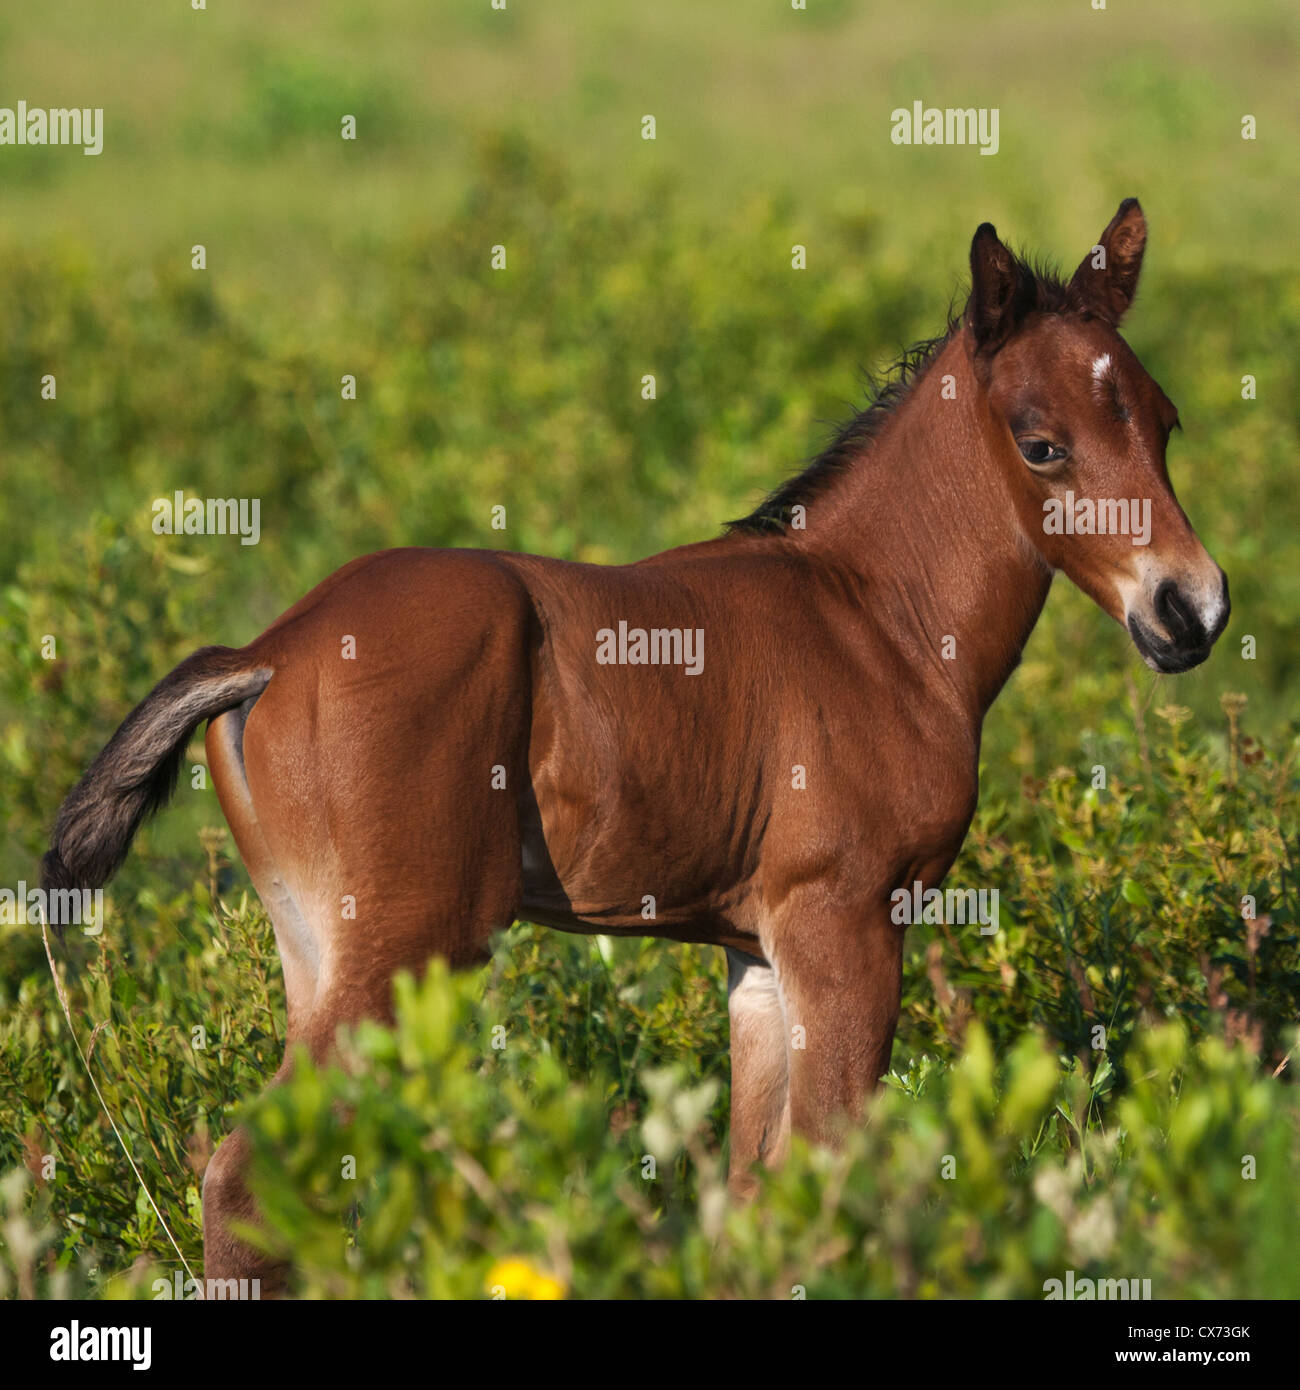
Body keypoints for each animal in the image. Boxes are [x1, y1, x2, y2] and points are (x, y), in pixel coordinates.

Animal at [42, 199, 1229, 1291]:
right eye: (1041, 443)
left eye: (1165, 422)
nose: (1192, 610)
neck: (872, 616)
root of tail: (268, 651)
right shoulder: (849, 919)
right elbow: (833, 1160)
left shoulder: (758, 956)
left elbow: (755, 1193)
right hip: (409, 944)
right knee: (245, 1175)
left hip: (313, 948)